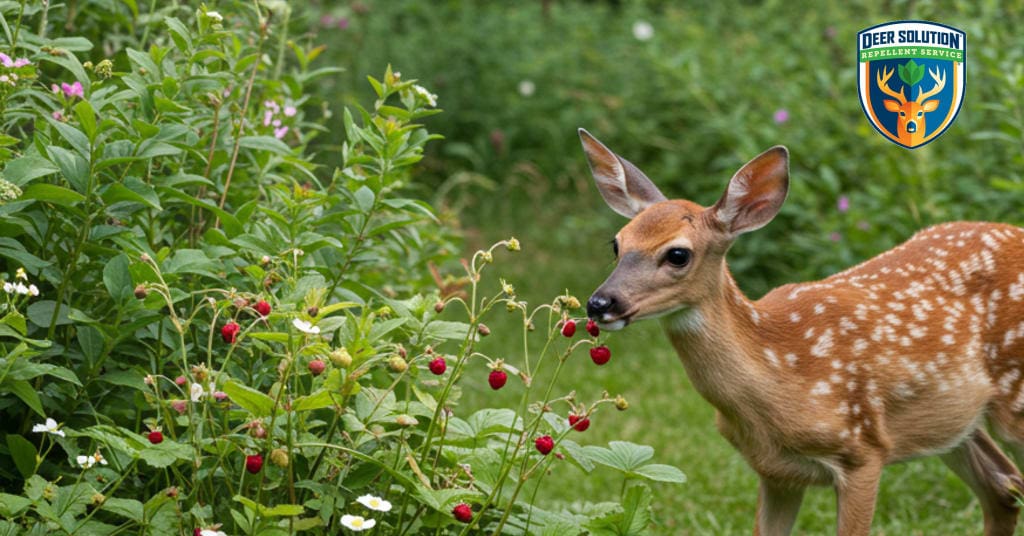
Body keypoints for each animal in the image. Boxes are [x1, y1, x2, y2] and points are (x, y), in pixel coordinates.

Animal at [578, 128, 1024, 535]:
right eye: (617, 244)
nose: (600, 303)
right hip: (953, 421)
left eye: (677, 254)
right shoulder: (775, 471)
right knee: (1003, 487)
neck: (778, 372)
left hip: (1013, 398)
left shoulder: (863, 450)